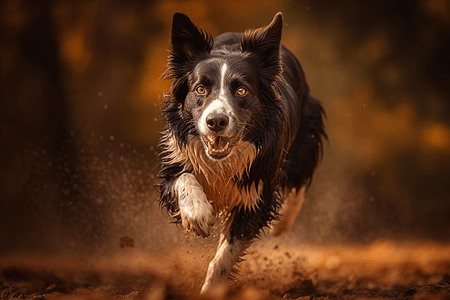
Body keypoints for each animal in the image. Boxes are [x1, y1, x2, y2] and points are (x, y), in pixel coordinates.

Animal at [156, 12, 326, 292]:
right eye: (200, 89)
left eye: (241, 90)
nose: (216, 121)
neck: (222, 160)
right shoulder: (174, 160)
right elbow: (184, 178)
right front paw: (198, 214)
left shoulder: (256, 193)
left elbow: (225, 255)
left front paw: (211, 290)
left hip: (306, 136)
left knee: (299, 181)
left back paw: (282, 224)